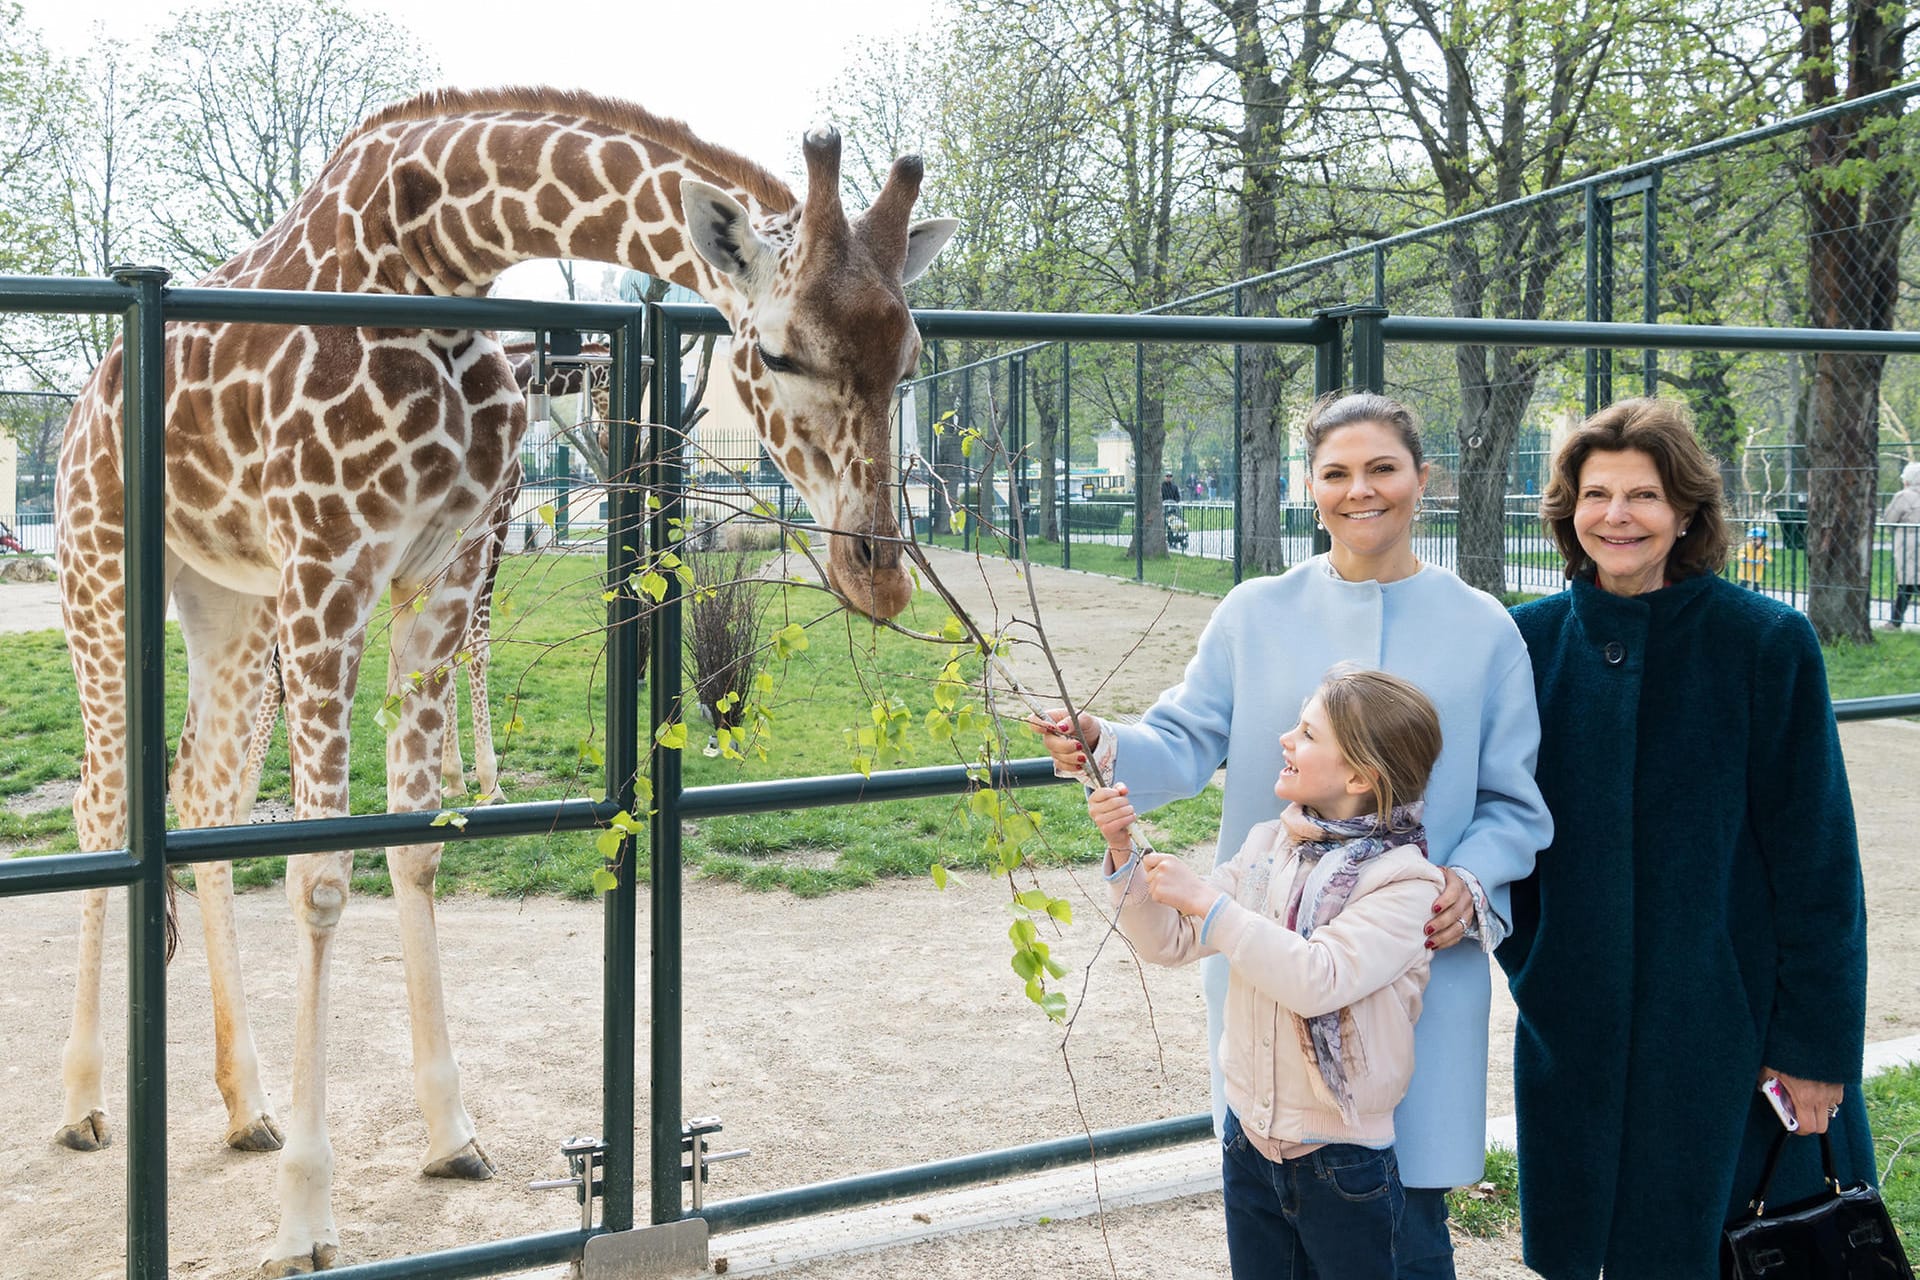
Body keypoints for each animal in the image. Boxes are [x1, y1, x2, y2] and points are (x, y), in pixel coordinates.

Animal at [56, 84, 956, 1274]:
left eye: (910, 356)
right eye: (778, 352)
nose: (879, 574)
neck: (434, 259)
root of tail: (82, 403)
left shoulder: (435, 572)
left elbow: (417, 845)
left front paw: (450, 1134)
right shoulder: (331, 564)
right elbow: (320, 877)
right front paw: (305, 1220)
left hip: (225, 598)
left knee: (202, 798)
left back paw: (246, 1105)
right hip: (103, 567)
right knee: (102, 805)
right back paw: (82, 1104)